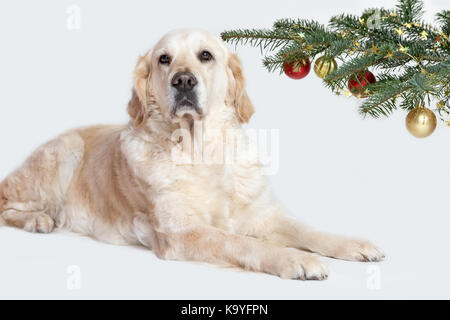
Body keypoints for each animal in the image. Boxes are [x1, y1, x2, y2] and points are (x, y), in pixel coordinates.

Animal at [0, 30, 384, 280]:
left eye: (205, 55)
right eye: (163, 59)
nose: (183, 81)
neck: (202, 151)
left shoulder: (262, 214)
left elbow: (306, 229)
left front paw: (352, 243)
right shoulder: (180, 232)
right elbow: (239, 242)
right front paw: (293, 260)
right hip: (66, 149)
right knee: (7, 205)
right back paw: (38, 220)